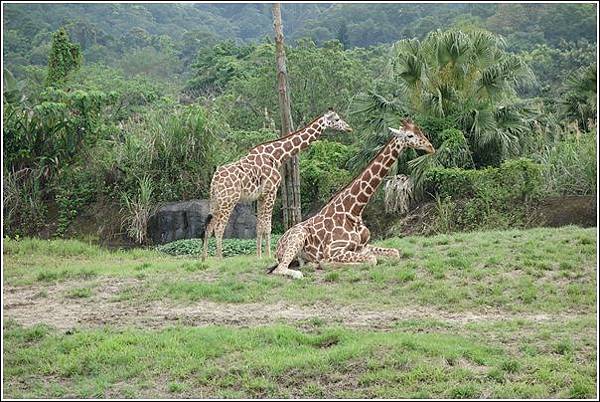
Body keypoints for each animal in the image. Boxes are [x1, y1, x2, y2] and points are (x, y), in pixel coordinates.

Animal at [203, 110, 352, 260]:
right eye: (337, 119)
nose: (349, 128)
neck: (277, 155)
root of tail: (215, 179)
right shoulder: (271, 191)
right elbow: (267, 225)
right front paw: (269, 255)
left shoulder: (261, 196)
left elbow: (259, 226)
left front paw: (259, 255)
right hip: (229, 200)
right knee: (219, 227)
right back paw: (219, 258)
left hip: (216, 201)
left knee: (209, 226)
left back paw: (204, 258)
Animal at [270, 118, 434, 278]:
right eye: (410, 135)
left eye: (419, 131)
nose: (431, 147)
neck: (354, 210)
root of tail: (278, 245)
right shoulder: (334, 250)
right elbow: (371, 260)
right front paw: (326, 263)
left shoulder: (363, 247)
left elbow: (395, 253)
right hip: (298, 235)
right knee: (280, 268)